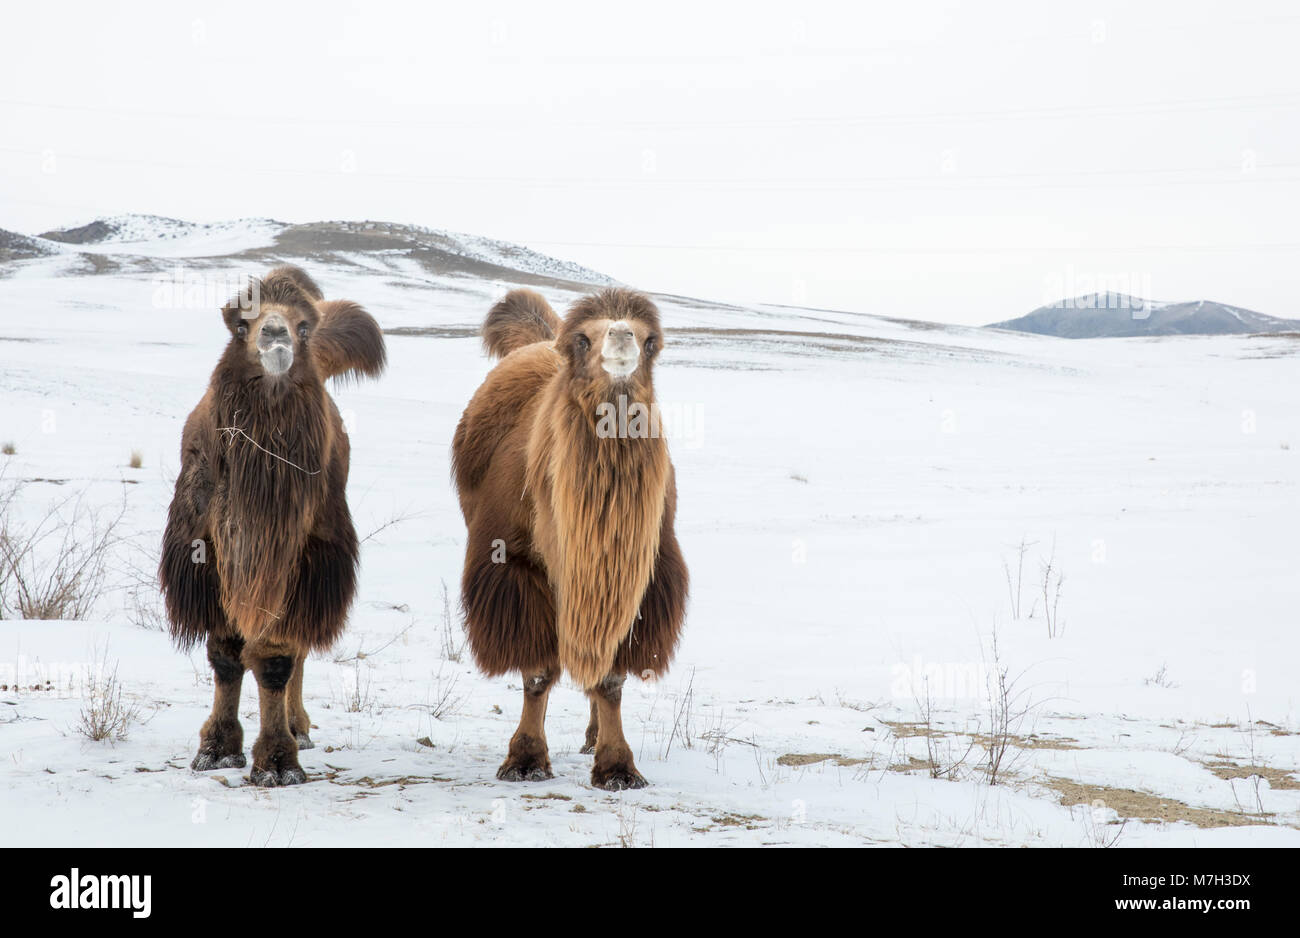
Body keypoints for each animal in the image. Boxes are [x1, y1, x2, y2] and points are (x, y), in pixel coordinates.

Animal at [160, 265, 385, 786]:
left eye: (304, 326)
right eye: (242, 324)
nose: (276, 334)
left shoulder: (297, 559)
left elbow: (276, 658)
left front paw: (279, 761)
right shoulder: (207, 556)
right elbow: (224, 655)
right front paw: (217, 749)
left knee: (298, 650)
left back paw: (299, 728)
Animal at [452, 287, 688, 790]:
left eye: (651, 341)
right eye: (582, 339)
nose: (621, 336)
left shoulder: (638, 576)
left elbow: (611, 677)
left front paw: (617, 766)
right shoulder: (515, 566)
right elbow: (538, 672)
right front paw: (525, 760)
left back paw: (592, 736)